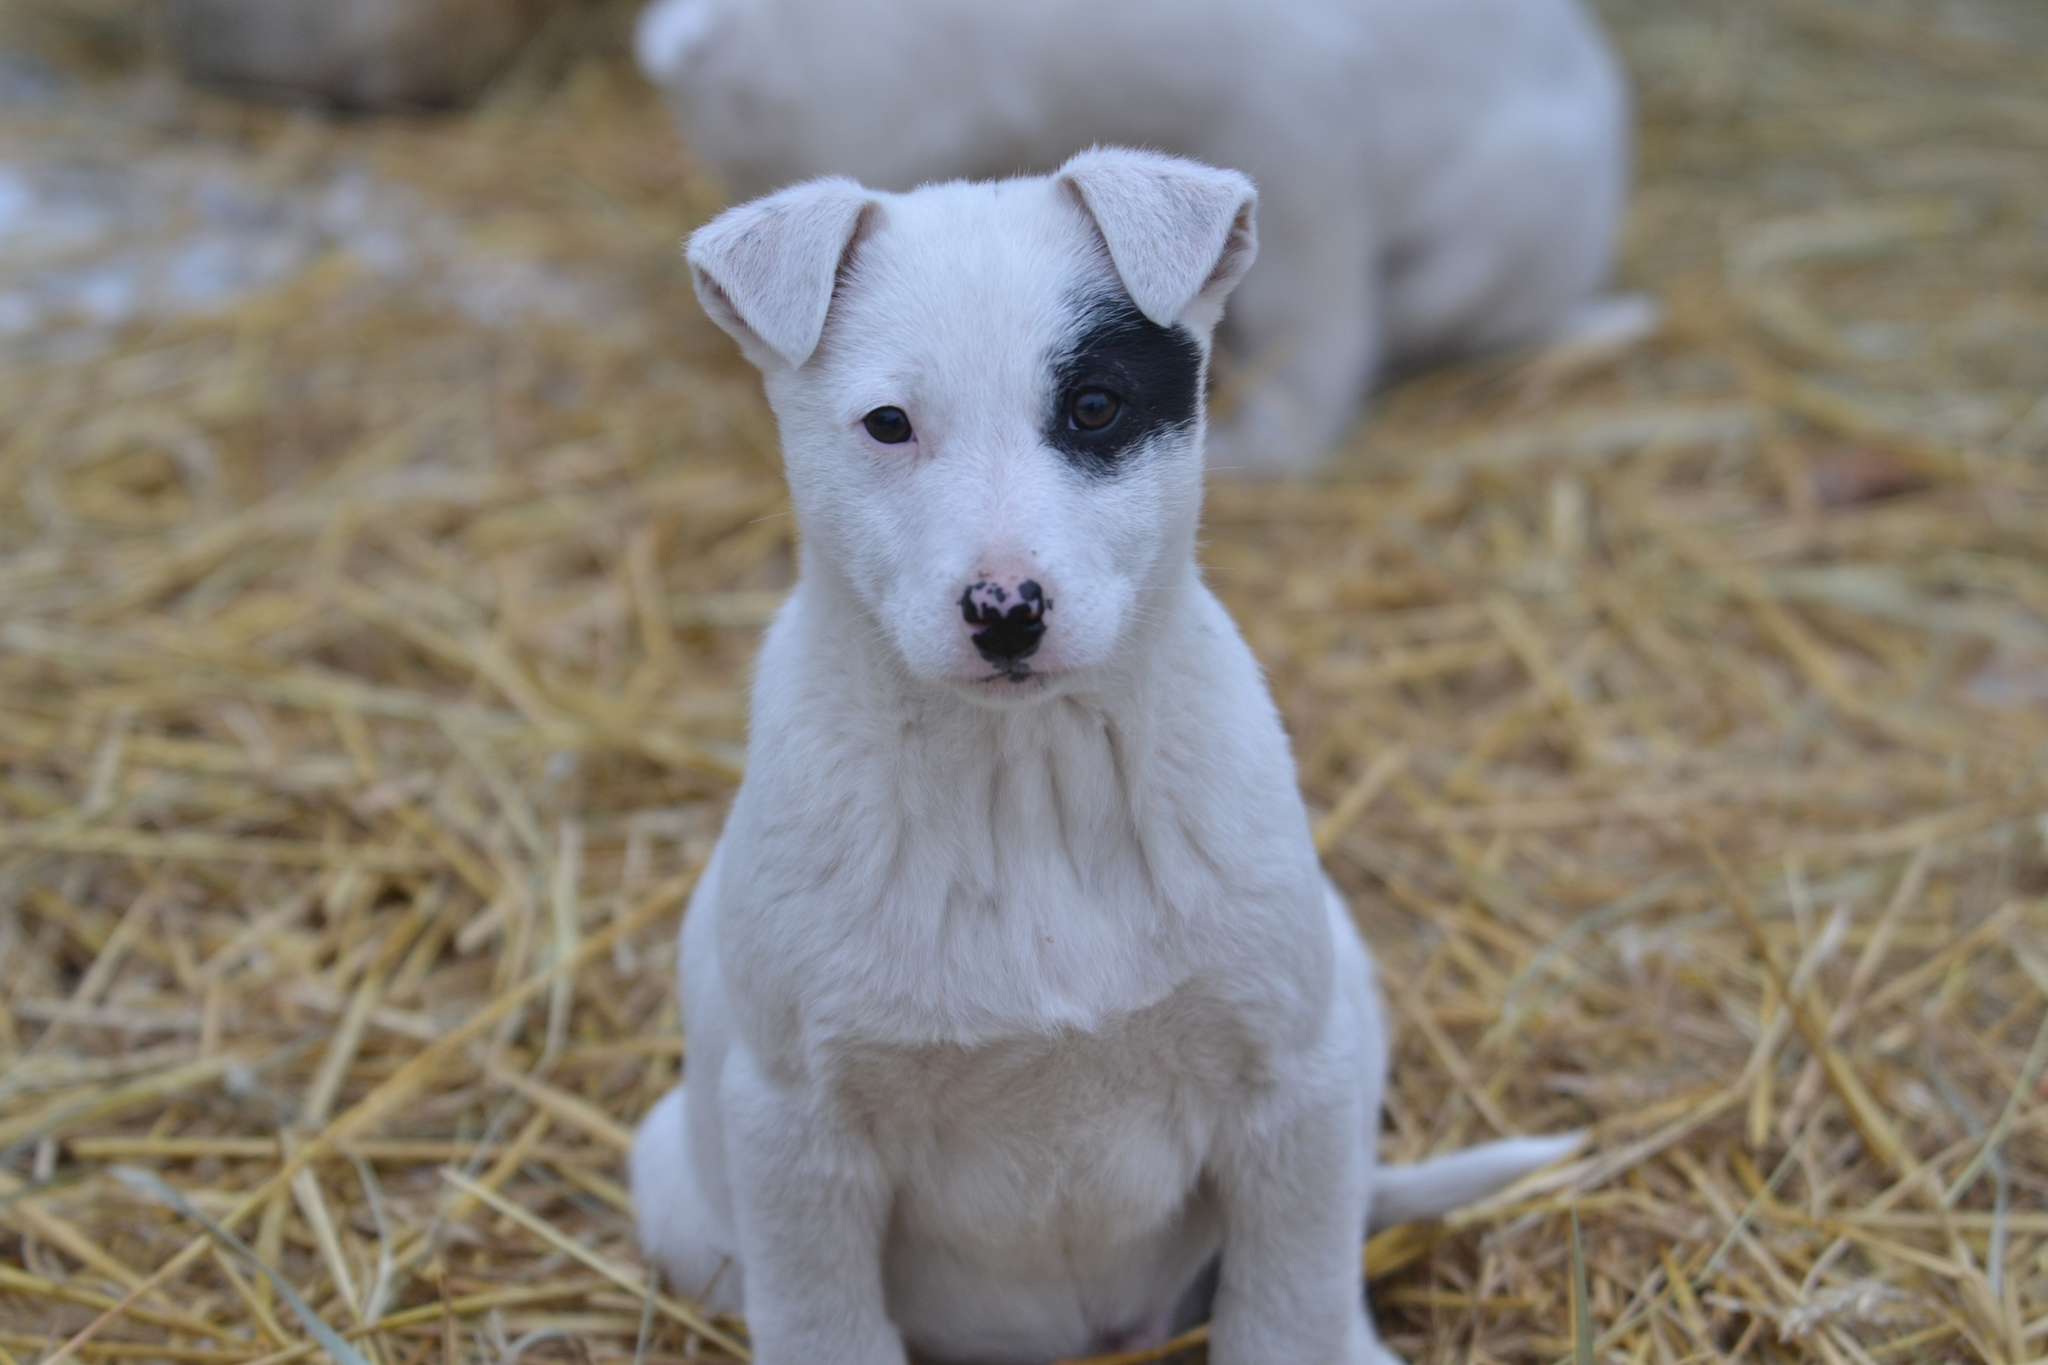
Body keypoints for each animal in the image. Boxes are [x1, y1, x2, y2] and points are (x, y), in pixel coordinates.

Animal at [630, 149, 1572, 1365]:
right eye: (887, 424)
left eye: (1093, 406)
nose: (1005, 612)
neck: (1028, 780)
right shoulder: (795, 1131)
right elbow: (826, 1327)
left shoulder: (1292, 1082)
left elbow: (1285, 1314)